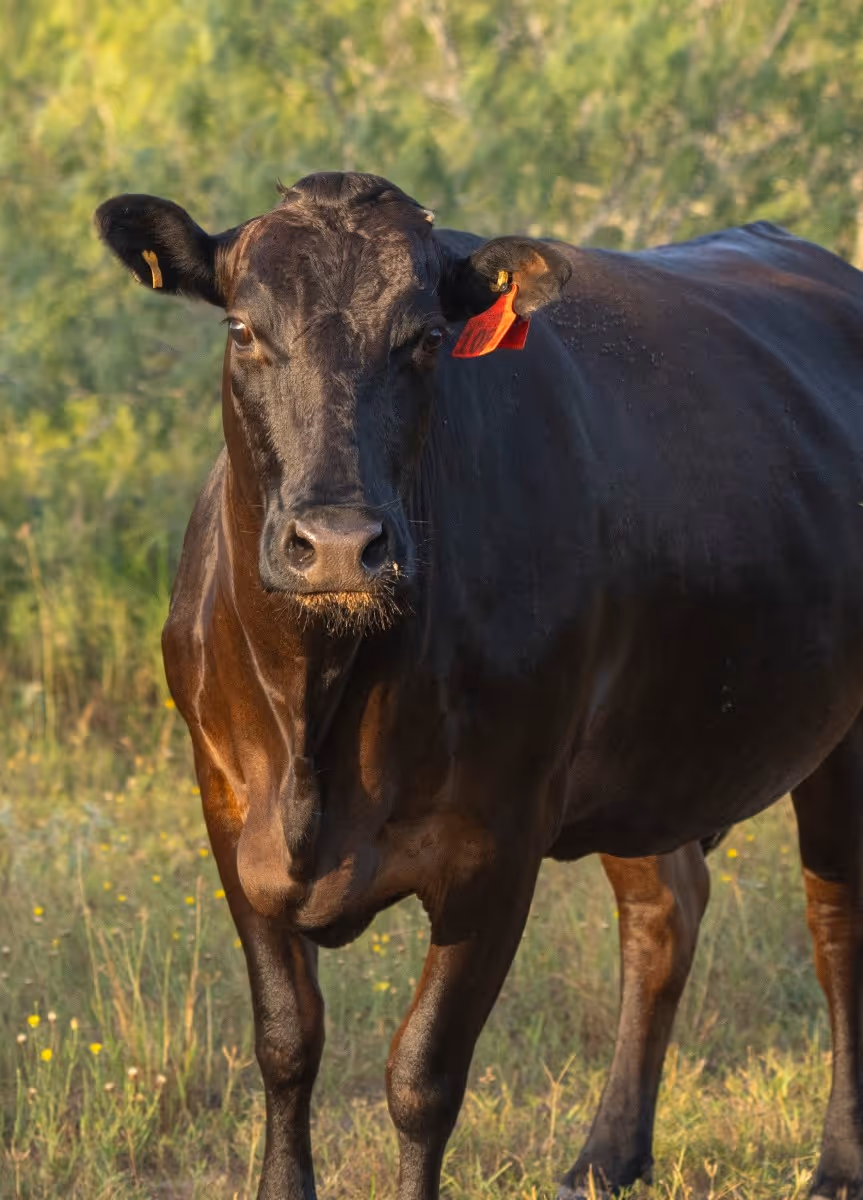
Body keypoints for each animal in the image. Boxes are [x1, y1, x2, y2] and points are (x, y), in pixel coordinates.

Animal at [96, 171, 863, 1200]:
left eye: (425, 338)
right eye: (243, 331)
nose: (336, 544)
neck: (318, 712)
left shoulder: (498, 843)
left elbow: (423, 1077)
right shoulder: (228, 815)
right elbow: (286, 1044)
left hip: (836, 741)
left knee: (834, 928)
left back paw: (838, 1164)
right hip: (644, 746)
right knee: (664, 914)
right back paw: (605, 1158)